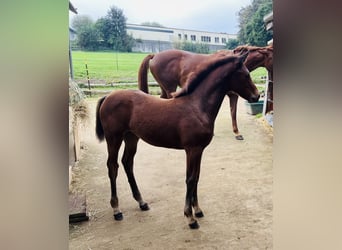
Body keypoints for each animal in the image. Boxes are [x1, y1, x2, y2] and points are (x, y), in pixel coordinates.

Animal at [95, 51, 258, 229]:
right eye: (246, 74)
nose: (257, 96)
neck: (197, 106)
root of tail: (108, 96)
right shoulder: (192, 150)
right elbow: (190, 179)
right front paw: (190, 217)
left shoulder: (199, 150)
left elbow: (196, 177)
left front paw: (197, 210)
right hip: (114, 137)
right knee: (113, 166)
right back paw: (116, 209)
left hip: (131, 137)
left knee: (127, 162)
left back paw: (142, 202)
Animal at [138, 45, 274, 141]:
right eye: (246, 75)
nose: (257, 95)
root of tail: (155, 55)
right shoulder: (233, 94)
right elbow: (233, 113)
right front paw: (237, 133)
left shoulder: (231, 94)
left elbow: (232, 112)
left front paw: (236, 132)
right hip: (169, 87)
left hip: (164, 88)